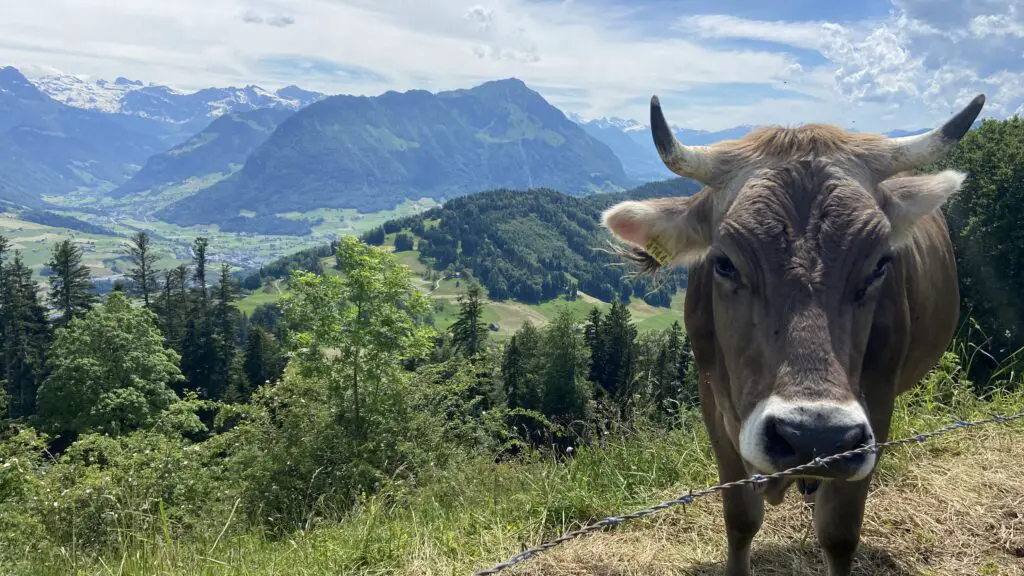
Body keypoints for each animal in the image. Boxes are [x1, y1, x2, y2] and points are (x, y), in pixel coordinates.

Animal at [598, 94, 983, 573]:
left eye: (879, 264)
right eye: (724, 262)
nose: (814, 436)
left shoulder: (875, 408)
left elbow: (839, 532)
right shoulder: (713, 402)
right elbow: (740, 518)